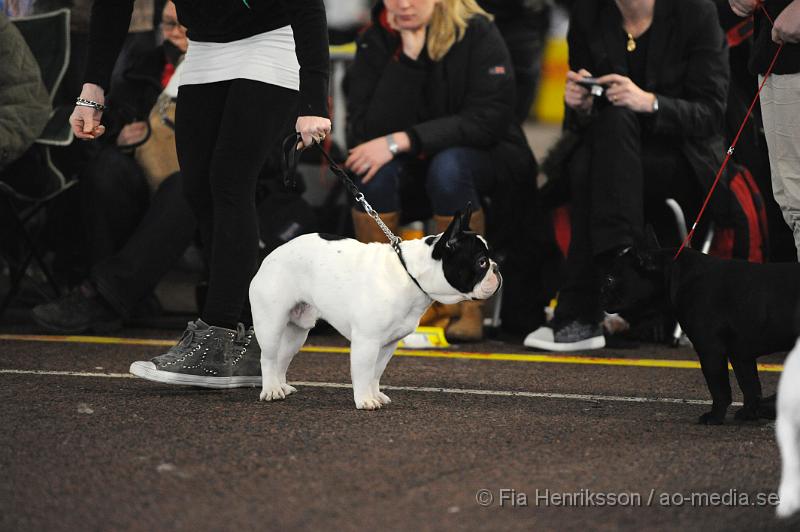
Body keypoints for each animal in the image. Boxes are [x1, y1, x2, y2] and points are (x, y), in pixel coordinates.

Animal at [600, 247, 800, 426]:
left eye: (610, 279)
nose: (600, 292)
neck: (673, 275)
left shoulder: (710, 350)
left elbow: (719, 388)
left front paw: (714, 417)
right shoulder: (740, 355)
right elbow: (750, 385)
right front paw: (749, 413)